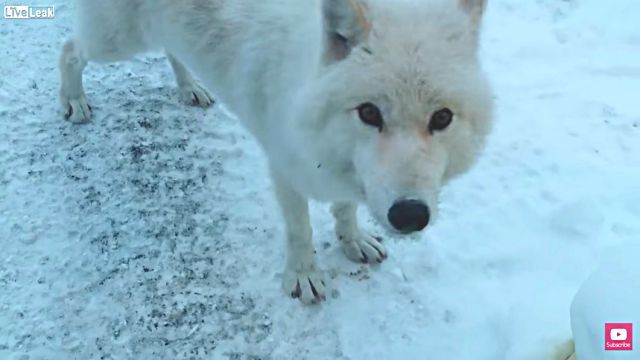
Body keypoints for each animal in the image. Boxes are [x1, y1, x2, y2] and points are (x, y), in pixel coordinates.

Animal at [60, 0, 492, 304]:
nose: (410, 216)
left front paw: (353, 241)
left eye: (441, 118)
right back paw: (74, 100)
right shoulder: (285, 168)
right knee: (70, 48)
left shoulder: (346, 178)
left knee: (172, 49)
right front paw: (302, 277)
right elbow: (301, 231)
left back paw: (190, 88)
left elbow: (346, 210)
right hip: (116, 41)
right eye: (370, 113)